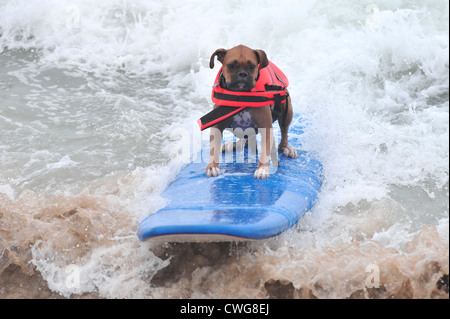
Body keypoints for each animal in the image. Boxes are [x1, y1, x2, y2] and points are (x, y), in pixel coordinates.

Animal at [206, 45, 298, 180]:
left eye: (252, 66)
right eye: (231, 65)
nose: (243, 74)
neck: (241, 95)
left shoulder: (266, 127)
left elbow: (265, 150)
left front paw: (262, 169)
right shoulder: (217, 126)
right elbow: (214, 148)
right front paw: (212, 166)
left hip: (287, 111)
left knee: (284, 132)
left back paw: (287, 148)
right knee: (244, 141)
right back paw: (231, 145)